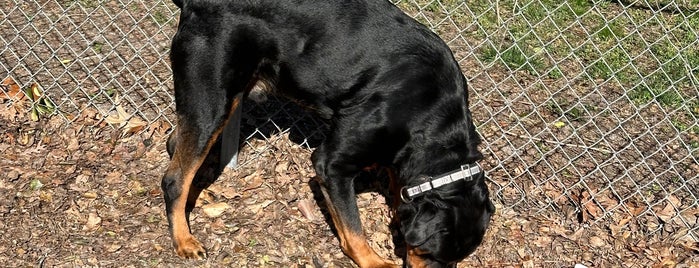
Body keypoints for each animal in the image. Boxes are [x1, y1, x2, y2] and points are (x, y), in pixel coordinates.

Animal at [161, 1, 494, 266]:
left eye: (455, 261)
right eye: (428, 253)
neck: (431, 117)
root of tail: (196, 3)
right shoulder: (332, 165)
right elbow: (353, 228)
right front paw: (375, 262)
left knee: (176, 144)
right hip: (212, 99)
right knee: (174, 177)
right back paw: (184, 240)